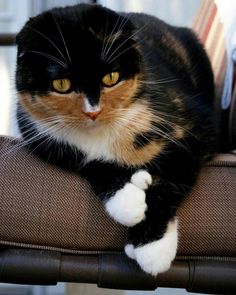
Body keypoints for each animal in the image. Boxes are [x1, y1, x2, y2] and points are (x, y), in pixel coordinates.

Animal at [15, 4, 217, 278]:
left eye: (111, 77)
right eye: (62, 84)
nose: (93, 111)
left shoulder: (194, 130)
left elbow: (173, 181)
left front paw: (152, 248)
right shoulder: (40, 136)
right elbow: (90, 162)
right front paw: (127, 201)